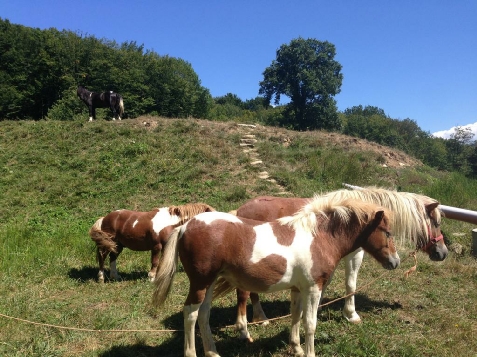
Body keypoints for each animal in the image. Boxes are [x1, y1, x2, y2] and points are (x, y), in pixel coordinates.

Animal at [152, 196, 398, 356]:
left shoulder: (298, 289)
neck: (319, 237)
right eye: (387, 233)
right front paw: (309, 352)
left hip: (209, 284)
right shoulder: (314, 289)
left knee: (204, 315)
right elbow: (310, 323)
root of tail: (184, 227)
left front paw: (296, 348)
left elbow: (296, 316)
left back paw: (213, 352)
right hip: (200, 283)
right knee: (191, 314)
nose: (395, 262)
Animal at [232, 185, 444, 332]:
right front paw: (351, 314)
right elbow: (351, 284)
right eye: (436, 222)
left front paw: (316, 308)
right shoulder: (355, 254)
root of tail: (240, 210)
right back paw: (261, 317)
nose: (442, 253)